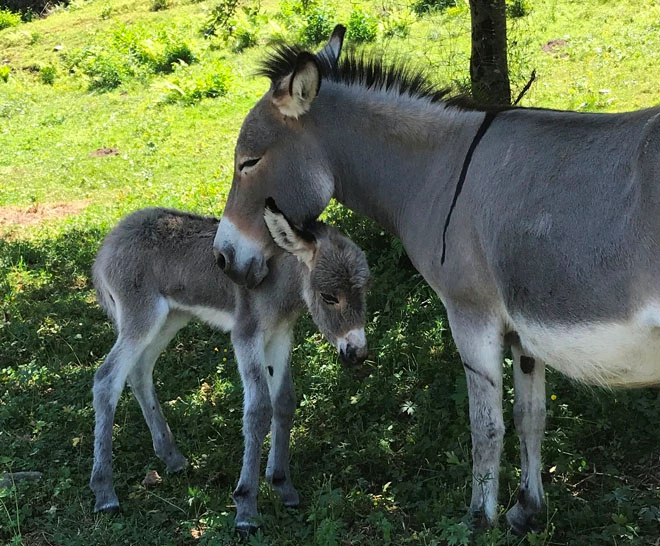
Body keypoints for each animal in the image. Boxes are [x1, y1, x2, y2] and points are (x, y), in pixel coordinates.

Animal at [89, 202, 372, 528]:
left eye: (364, 290)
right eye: (328, 297)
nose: (358, 353)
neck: (280, 284)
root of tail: (113, 238)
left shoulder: (280, 336)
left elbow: (284, 402)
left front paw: (282, 484)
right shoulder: (246, 336)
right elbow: (259, 409)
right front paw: (246, 506)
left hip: (171, 317)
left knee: (139, 370)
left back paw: (171, 457)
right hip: (141, 316)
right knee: (106, 379)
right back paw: (104, 492)